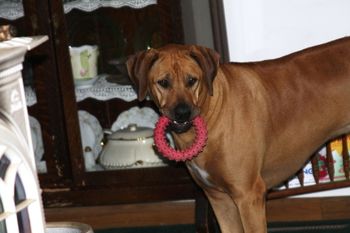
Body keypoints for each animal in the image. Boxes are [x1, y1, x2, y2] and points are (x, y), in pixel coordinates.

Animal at [127, 37, 350, 232]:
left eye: (192, 80)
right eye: (163, 82)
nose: (183, 113)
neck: (212, 115)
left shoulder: (248, 196)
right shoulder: (219, 199)